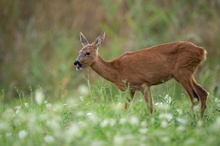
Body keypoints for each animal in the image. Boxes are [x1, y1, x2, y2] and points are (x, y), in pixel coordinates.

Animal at [73, 31, 208, 117]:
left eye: (88, 53)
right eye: (79, 51)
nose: (76, 62)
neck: (117, 71)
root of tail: (202, 51)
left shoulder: (143, 82)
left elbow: (150, 107)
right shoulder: (131, 88)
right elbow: (125, 108)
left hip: (182, 72)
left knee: (195, 96)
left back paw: (190, 121)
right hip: (188, 73)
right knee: (203, 93)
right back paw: (201, 121)